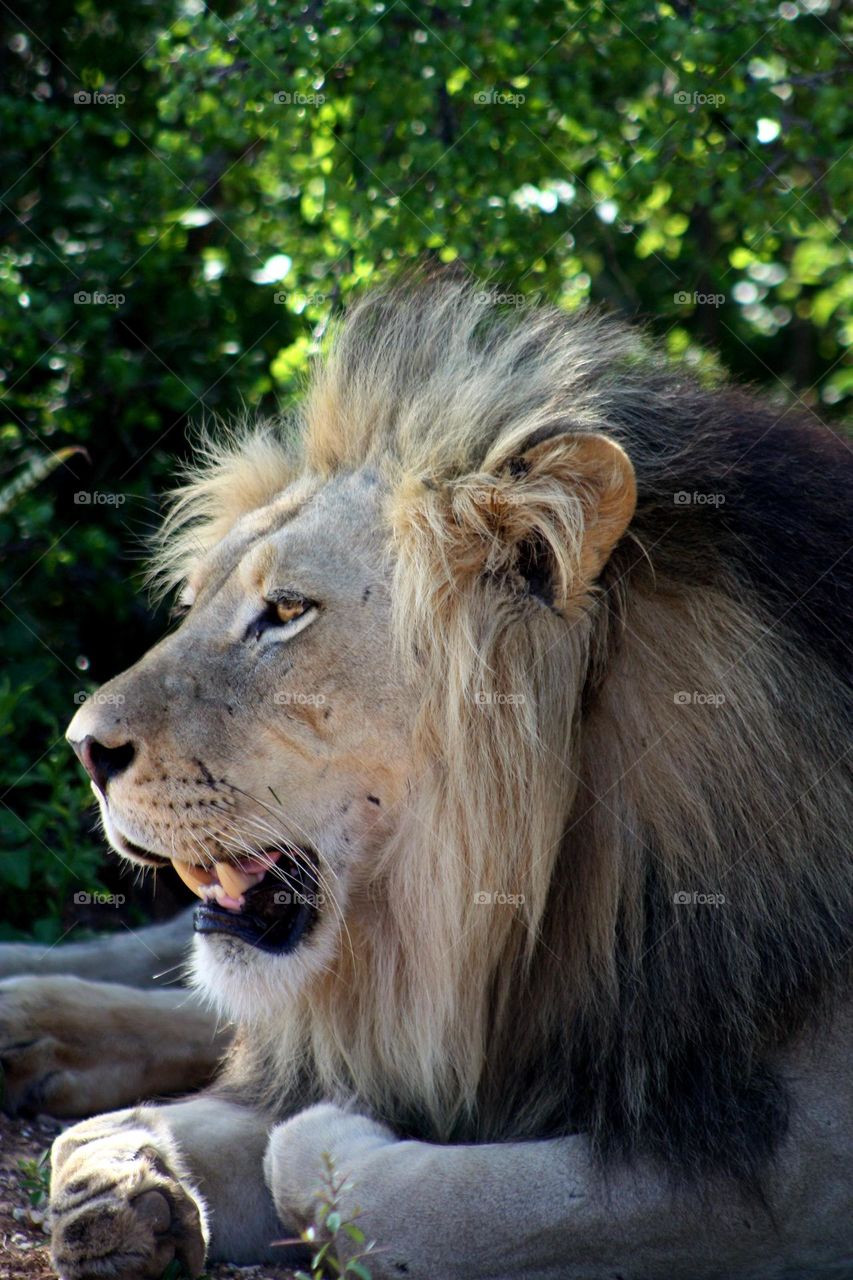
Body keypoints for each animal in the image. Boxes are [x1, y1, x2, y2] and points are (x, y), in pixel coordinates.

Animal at [0, 276, 850, 1279]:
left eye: (285, 611)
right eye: (196, 602)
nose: (83, 748)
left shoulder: (786, 1166)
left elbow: (405, 1197)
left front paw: (184, 1155)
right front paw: (124, 1171)